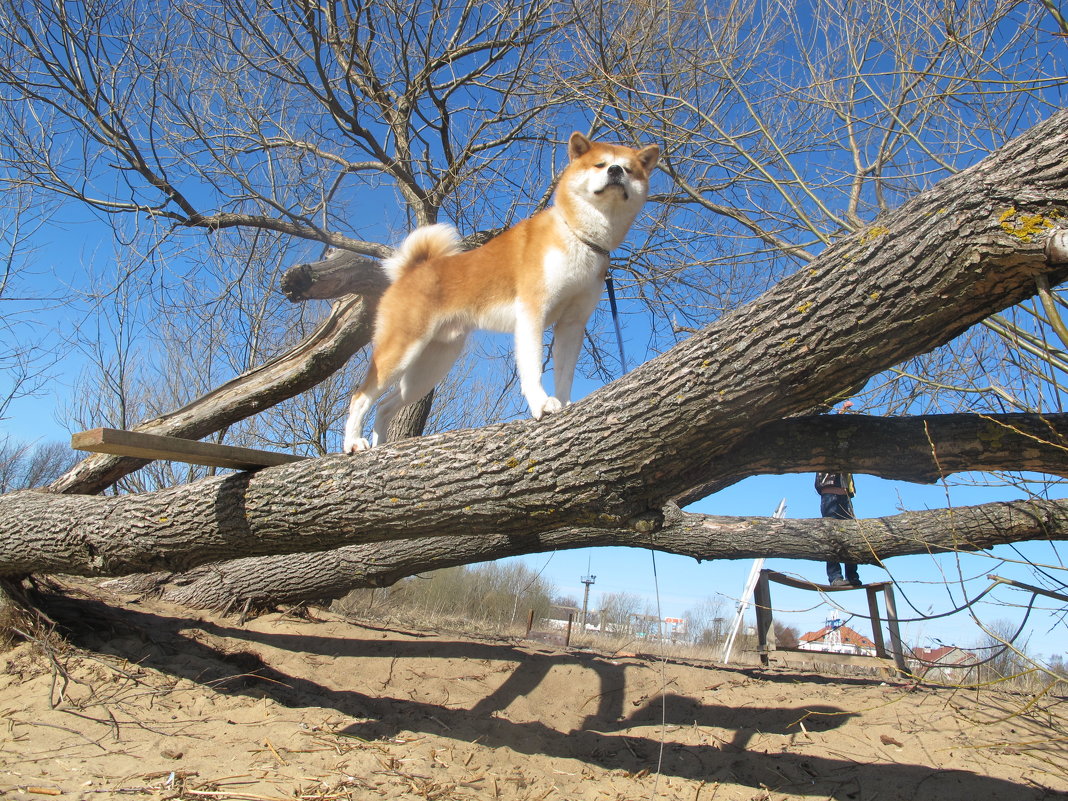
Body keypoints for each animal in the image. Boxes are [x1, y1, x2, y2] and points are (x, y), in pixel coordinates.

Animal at [341, 131, 657, 452]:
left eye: (628, 169)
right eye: (600, 164)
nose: (615, 171)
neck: (578, 236)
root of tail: (410, 271)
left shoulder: (572, 323)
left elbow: (565, 373)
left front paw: (565, 404)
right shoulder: (532, 313)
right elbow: (532, 368)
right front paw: (542, 404)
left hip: (431, 364)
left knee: (385, 406)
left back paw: (382, 447)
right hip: (402, 349)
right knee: (360, 397)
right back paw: (354, 443)